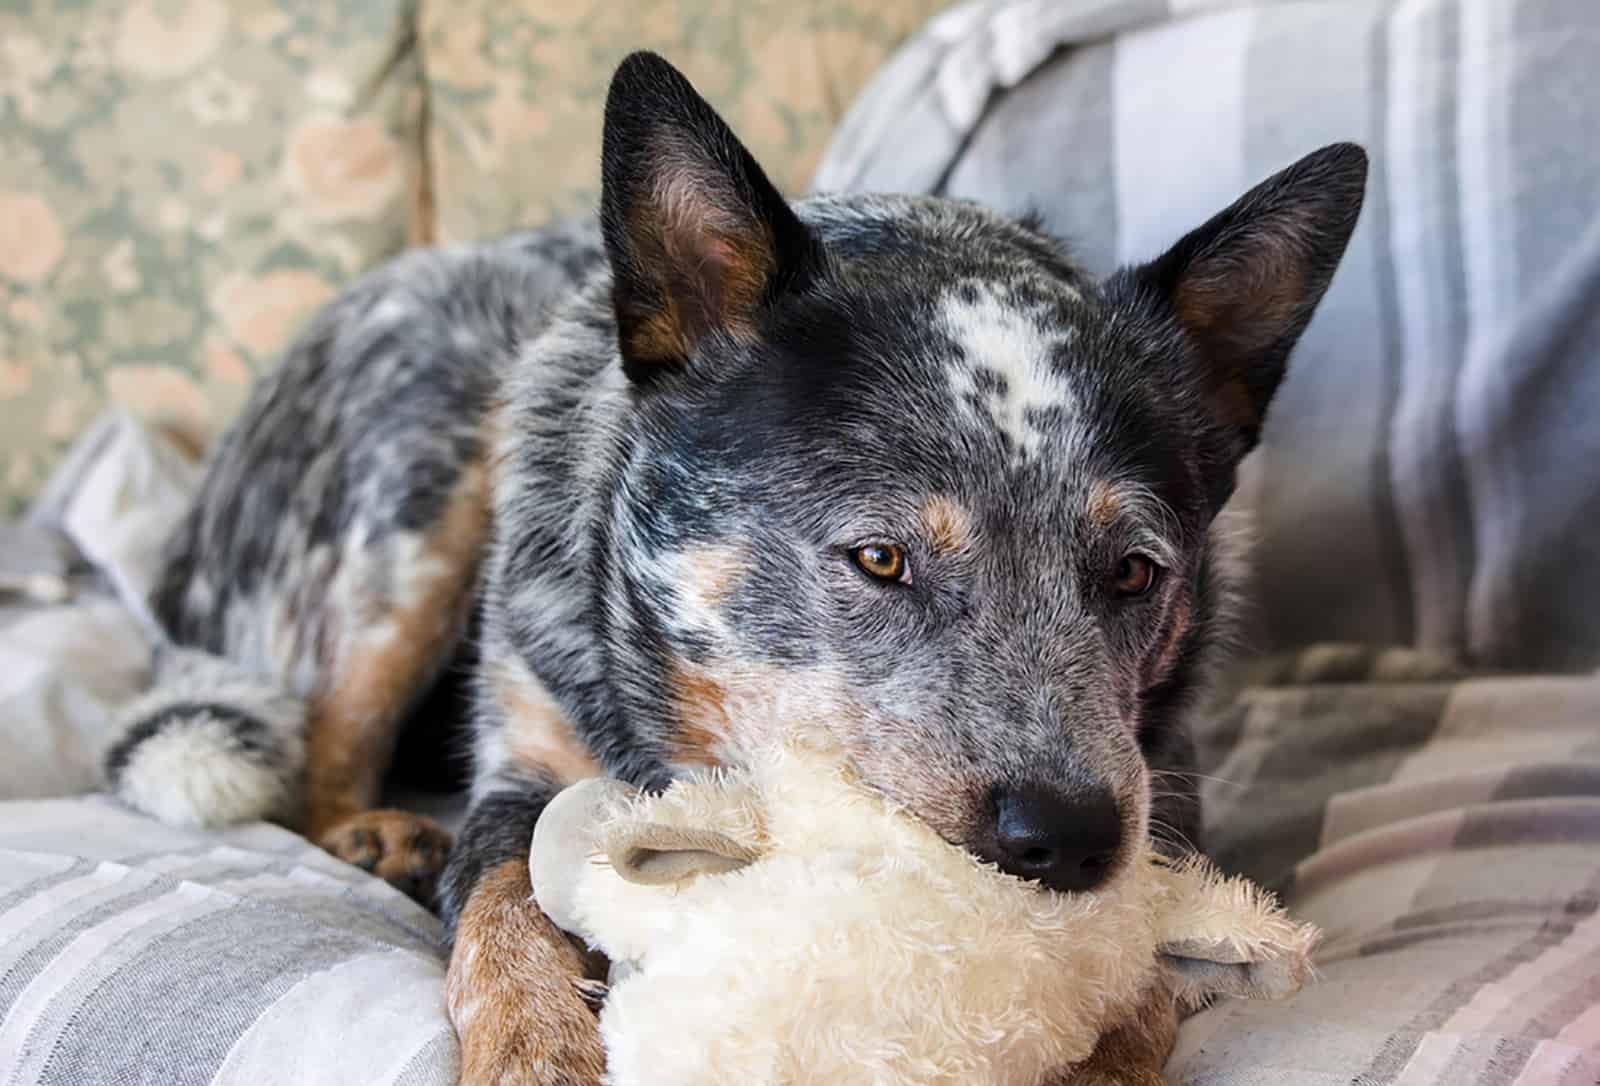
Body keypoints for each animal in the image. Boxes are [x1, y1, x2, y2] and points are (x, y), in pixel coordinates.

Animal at [106, 50, 1369, 1086]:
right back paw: (371, 830)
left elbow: (1139, 974)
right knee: (316, 735)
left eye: (1132, 574)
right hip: (418, 466)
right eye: (879, 557)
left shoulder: (1163, 795)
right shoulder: (525, 766)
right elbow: (507, 910)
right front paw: (532, 1049)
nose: (1063, 841)